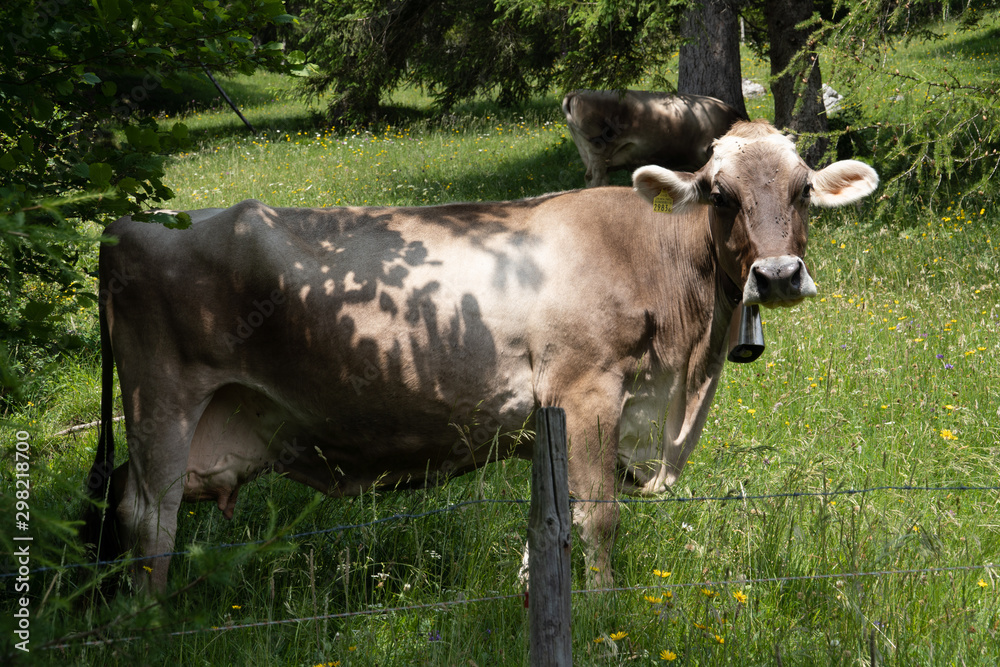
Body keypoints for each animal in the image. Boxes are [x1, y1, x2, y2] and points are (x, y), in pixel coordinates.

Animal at [86, 118, 876, 588]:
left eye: (803, 189)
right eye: (718, 193)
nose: (778, 275)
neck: (680, 386)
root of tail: (126, 225)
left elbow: (548, 525)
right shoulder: (586, 392)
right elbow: (597, 518)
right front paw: (601, 609)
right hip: (162, 404)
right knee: (148, 517)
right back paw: (152, 622)